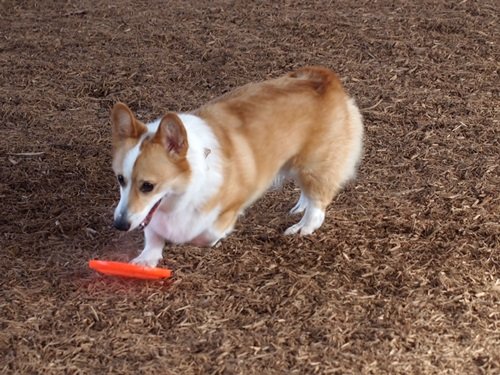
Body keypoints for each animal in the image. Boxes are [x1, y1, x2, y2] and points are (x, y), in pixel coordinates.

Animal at [110, 67, 364, 268]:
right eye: (120, 179)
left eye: (148, 186)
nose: (119, 225)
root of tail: (324, 77)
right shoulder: (150, 215)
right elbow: (152, 232)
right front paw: (146, 258)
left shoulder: (230, 206)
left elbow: (207, 233)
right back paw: (301, 205)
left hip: (314, 166)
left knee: (318, 204)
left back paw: (303, 226)